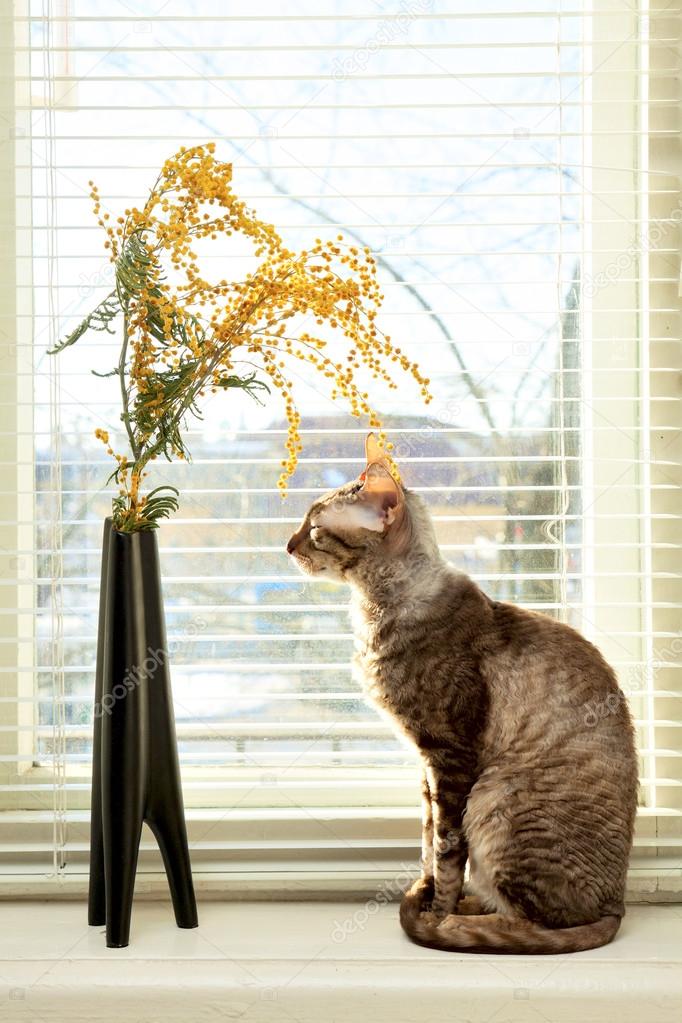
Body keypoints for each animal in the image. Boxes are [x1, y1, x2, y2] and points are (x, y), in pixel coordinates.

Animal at [286, 431, 638, 949]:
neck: (376, 610)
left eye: (313, 528)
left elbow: (447, 851)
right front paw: (430, 895)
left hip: (495, 795)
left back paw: (457, 922)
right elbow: (428, 842)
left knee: (535, 922)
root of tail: (618, 903)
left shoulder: (450, 757)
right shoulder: (426, 765)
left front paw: (437, 911)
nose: (286, 545)